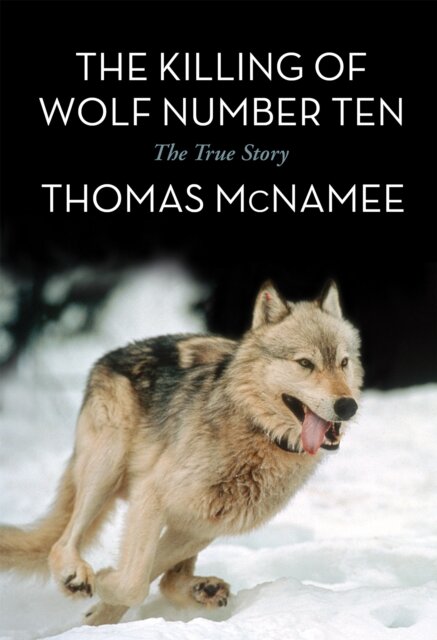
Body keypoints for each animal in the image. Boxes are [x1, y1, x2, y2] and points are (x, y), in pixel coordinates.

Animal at [0, 280, 363, 626]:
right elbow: (134, 583)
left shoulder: (199, 525)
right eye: (305, 363)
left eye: (343, 362)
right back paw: (75, 576)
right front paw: (103, 580)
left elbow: (143, 578)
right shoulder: (152, 496)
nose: (348, 406)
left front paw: (101, 605)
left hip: (191, 519)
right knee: (62, 543)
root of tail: (109, 357)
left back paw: (202, 590)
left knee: (166, 578)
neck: (255, 430)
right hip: (106, 471)